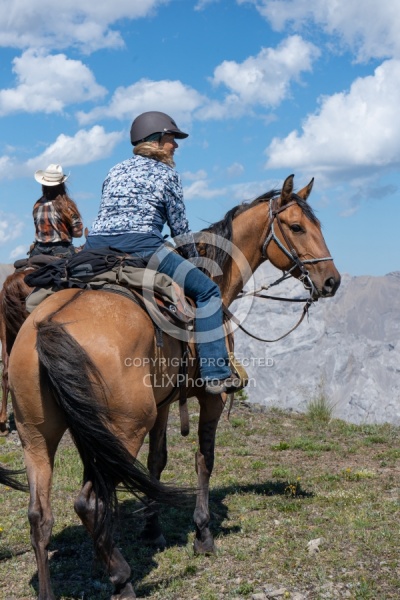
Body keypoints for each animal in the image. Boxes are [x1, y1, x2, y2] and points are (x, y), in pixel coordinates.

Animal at [7, 176, 340, 596]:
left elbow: (156, 463)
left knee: (40, 515)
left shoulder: (162, 404)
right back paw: (122, 579)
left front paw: (152, 530)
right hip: (124, 428)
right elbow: (203, 459)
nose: (332, 280)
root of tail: (48, 324)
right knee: (88, 504)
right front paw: (203, 534)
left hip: (37, 434)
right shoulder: (210, 399)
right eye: (296, 226)